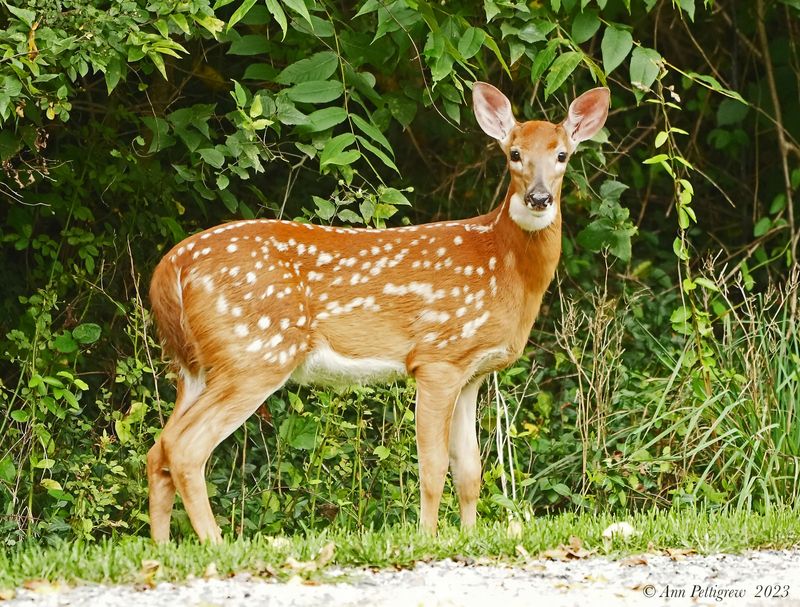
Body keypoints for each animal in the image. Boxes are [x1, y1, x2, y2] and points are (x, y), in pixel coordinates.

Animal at [147, 82, 610, 543]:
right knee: (185, 447)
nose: (538, 197)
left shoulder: (471, 373)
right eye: (514, 153)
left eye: (562, 155)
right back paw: (214, 543)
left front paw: (468, 536)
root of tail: (168, 269)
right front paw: (427, 538)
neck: (501, 266)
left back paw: (165, 546)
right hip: (255, 352)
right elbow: (432, 468)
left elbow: (470, 471)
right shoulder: (438, 358)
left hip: (195, 365)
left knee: (159, 448)